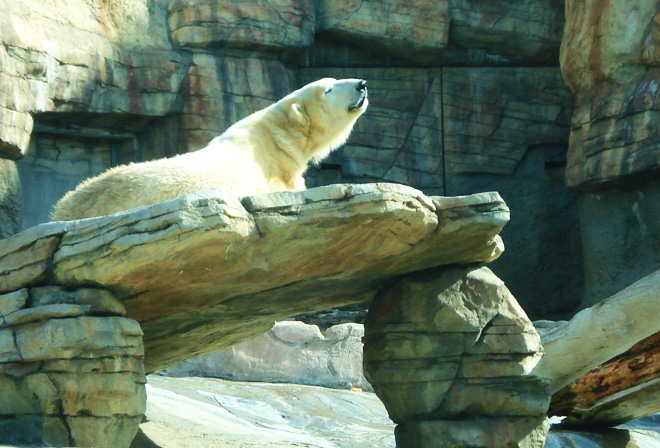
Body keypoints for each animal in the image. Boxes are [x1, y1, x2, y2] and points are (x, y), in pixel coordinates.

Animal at [50, 79, 372, 222]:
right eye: (328, 89)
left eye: (333, 82)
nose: (362, 83)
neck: (274, 138)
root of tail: (61, 211)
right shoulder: (277, 176)